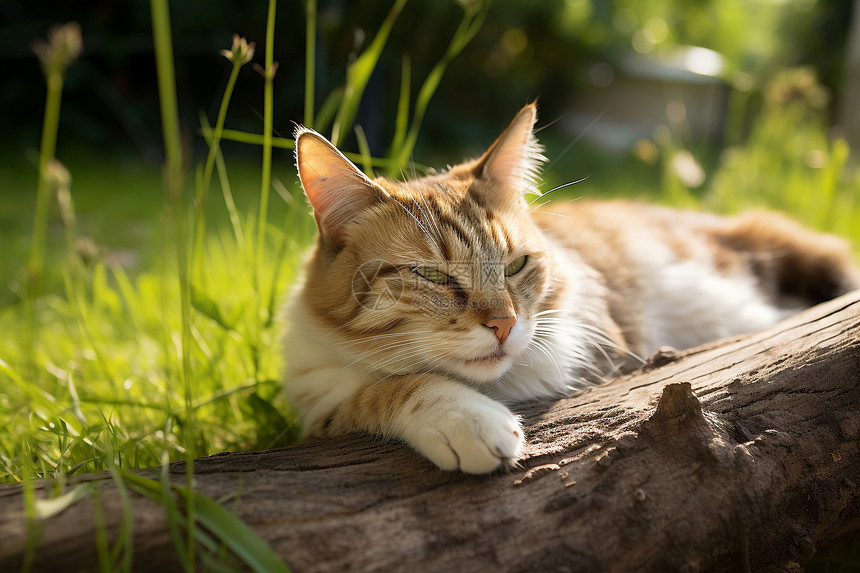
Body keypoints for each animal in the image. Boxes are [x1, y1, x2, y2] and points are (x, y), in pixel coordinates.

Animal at [280, 103, 852, 474]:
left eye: (515, 265)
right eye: (434, 276)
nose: (504, 324)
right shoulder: (317, 401)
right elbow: (384, 387)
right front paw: (467, 417)